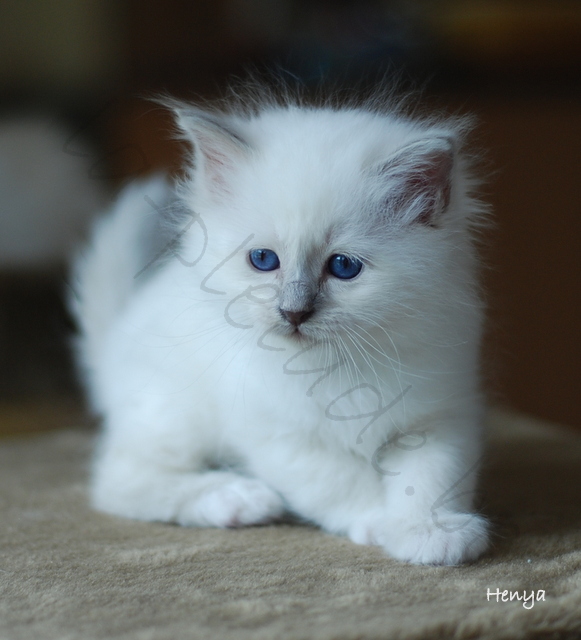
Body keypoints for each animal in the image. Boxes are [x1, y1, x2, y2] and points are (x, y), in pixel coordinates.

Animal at [71, 85, 490, 564]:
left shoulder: (439, 417)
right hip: (175, 414)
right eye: (263, 260)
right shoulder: (278, 434)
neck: (338, 366)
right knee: (119, 482)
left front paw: (430, 532)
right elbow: (341, 481)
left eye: (344, 267)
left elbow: (430, 479)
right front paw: (378, 523)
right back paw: (238, 499)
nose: (293, 312)